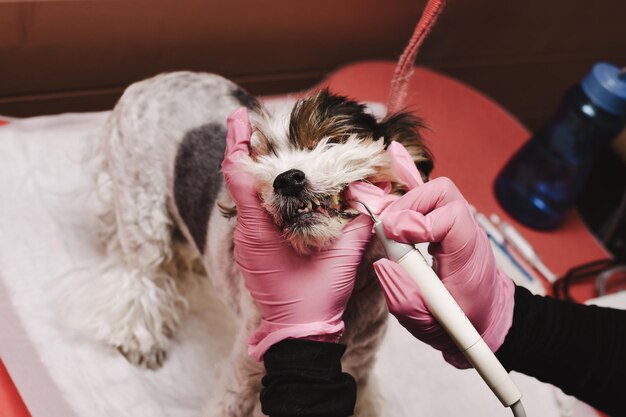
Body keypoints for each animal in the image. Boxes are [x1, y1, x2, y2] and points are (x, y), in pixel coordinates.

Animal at [67, 72, 428, 416]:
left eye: (332, 141)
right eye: (261, 158)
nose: (287, 179)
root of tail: (141, 85)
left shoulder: (359, 364)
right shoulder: (246, 372)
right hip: (142, 210)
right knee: (142, 272)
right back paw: (140, 337)